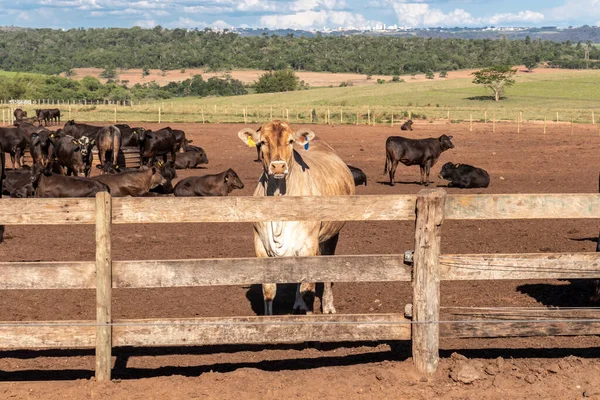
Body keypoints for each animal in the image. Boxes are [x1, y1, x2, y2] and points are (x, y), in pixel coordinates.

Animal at [237, 120, 354, 314]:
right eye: (262, 142)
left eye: (290, 141)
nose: (278, 166)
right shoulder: (260, 245)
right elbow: (269, 290)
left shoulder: (308, 245)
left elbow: (308, 288)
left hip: (331, 235)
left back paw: (328, 306)